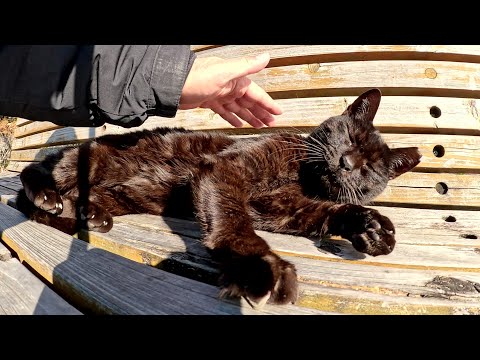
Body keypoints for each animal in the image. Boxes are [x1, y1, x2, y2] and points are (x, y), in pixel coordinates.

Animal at [15, 88, 420, 306]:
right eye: (349, 138)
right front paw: (262, 267)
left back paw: (86, 212)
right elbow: (232, 223)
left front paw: (373, 230)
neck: (303, 177)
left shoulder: (283, 210)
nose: (348, 162)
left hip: (125, 193)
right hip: (97, 160)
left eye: (370, 169)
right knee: (34, 178)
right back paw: (48, 195)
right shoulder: (227, 171)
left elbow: (332, 211)